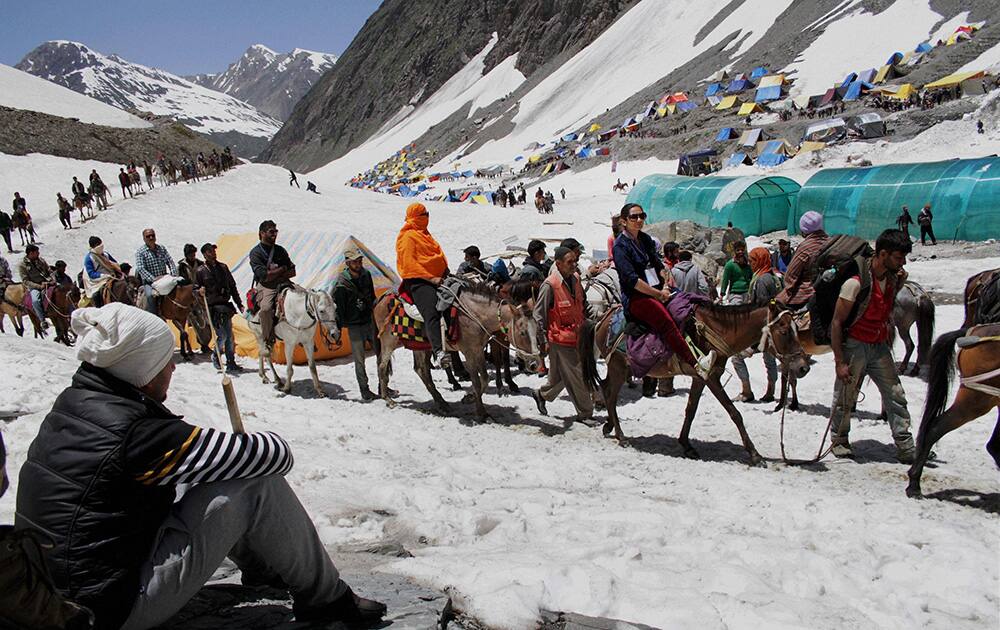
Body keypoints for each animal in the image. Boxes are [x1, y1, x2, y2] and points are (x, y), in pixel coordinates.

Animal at [376, 280, 544, 420]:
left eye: (537, 330)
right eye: (522, 332)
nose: (535, 364)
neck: (475, 315)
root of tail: (381, 300)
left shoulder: (478, 350)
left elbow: (484, 379)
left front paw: (469, 398)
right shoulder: (469, 352)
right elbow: (477, 382)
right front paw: (481, 413)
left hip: (418, 345)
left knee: (421, 370)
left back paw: (442, 403)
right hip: (389, 342)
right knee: (383, 366)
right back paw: (388, 399)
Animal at [580, 302, 812, 470]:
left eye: (796, 329)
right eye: (784, 332)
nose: (803, 367)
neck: (716, 331)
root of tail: (602, 319)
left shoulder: (701, 377)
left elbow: (691, 410)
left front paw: (686, 445)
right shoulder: (712, 379)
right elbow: (734, 413)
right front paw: (755, 455)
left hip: (619, 368)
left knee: (606, 389)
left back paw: (609, 426)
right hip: (619, 367)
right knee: (610, 395)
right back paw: (621, 436)